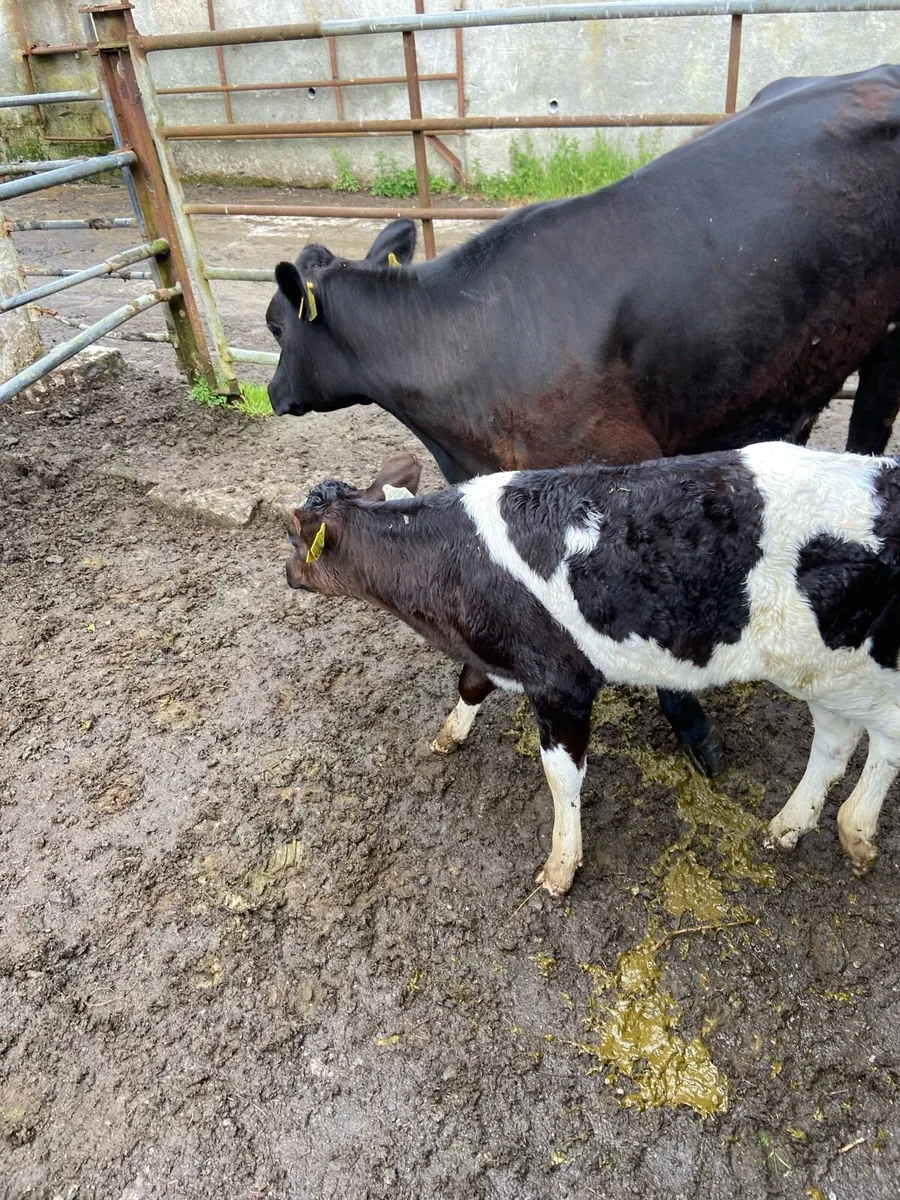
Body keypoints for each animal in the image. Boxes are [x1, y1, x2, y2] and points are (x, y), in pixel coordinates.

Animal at [284, 443, 900, 897]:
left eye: (294, 538)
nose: (286, 574)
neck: (452, 563)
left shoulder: (562, 681)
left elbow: (562, 776)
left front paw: (560, 867)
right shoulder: (502, 651)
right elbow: (470, 683)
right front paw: (447, 736)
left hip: (858, 664)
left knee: (884, 738)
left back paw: (855, 829)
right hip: (821, 670)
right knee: (835, 740)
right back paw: (789, 826)